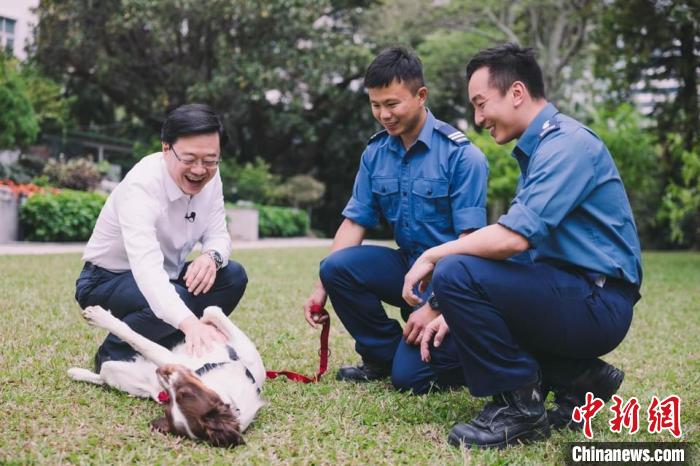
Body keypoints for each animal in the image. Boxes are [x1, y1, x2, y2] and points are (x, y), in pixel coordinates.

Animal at [68, 306, 266, 448]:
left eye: (183, 394)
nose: (162, 372)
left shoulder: (169, 358)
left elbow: (139, 340)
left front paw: (99, 316)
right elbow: (211, 310)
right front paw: (202, 325)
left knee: (104, 374)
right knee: (102, 374)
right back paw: (76, 372)